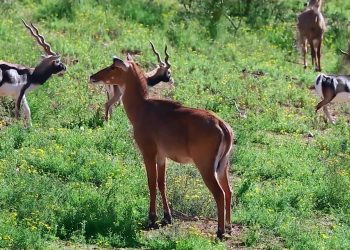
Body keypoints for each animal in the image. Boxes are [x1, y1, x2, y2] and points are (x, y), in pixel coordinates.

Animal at [89, 54, 234, 238]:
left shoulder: (148, 153)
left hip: (206, 167)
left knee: (219, 193)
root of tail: (223, 126)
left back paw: (220, 231)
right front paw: (167, 217)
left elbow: (151, 183)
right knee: (229, 191)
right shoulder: (162, 157)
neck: (143, 107)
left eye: (113, 67)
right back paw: (229, 227)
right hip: (222, 167)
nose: (93, 76)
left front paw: (151, 218)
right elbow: (162, 183)